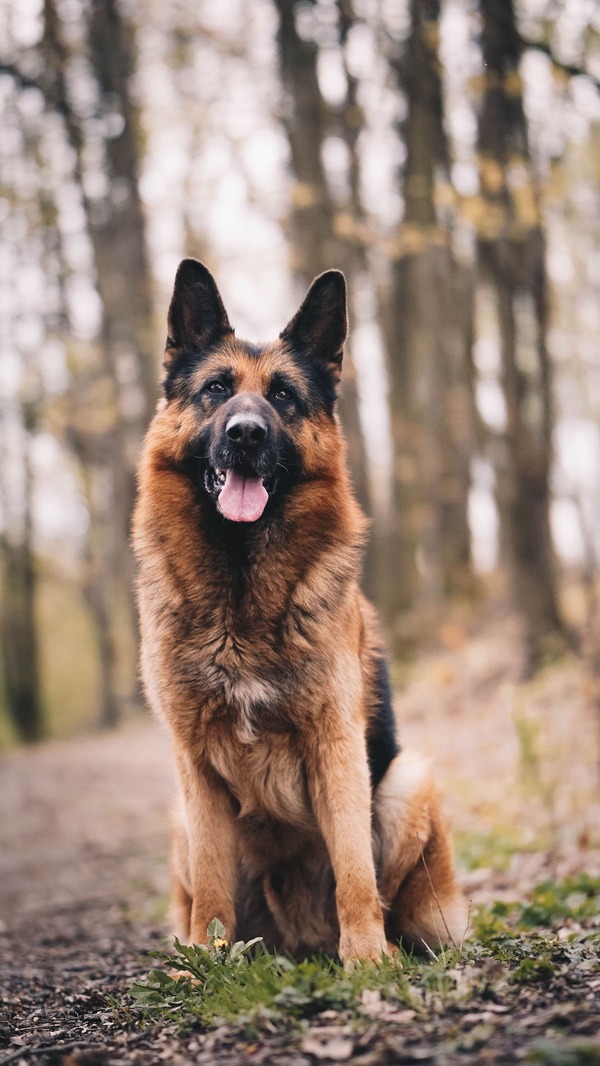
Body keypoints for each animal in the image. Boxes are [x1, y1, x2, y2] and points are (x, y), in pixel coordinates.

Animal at [133, 260, 466, 967]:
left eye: (284, 397)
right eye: (216, 390)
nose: (246, 434)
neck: (239, 595)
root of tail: (301, 942)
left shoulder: (335, 744)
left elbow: (354, 872)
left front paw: (368, 961)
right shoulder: (195, 770)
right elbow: (211, 891)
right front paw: (203, 970)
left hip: (407, 784)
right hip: (180, 821)